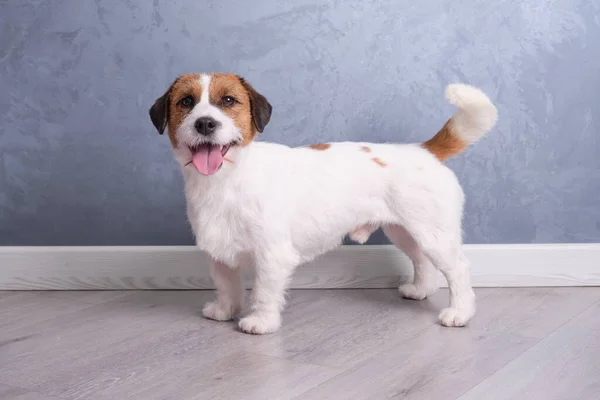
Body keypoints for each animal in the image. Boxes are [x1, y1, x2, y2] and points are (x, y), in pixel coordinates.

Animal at [149, 74, 496, 334]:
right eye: (186, 102)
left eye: (229, 101)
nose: (205, 124)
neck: (227, 180)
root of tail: (424, 150)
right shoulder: (219, 253)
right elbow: (226, 284)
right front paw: (225, 309)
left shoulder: (272, 255)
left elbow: (264, 291)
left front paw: (260, 321)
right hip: (404, 231)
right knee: (422, 260)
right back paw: (419, 290)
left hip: (434, 234)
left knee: (458, 269)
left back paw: (459, 313)